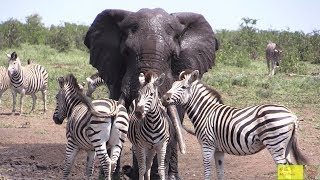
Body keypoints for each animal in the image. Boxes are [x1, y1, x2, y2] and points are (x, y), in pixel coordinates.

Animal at [164, 69, 308, 180]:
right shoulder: (219, 149)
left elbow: (208, 172)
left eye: (183, 87)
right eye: (173, 85)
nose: (164, 98)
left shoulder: (207, 145)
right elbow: (220, 172)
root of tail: (292, 115)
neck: (205, 112)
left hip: (275, 143)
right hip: (286, 146)